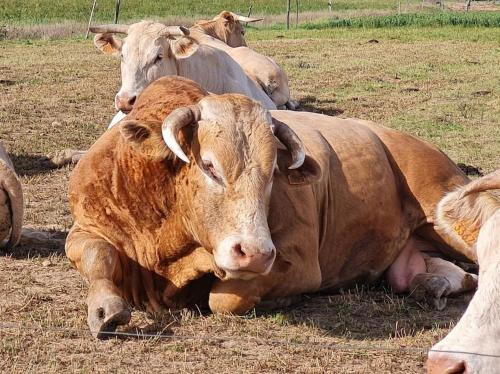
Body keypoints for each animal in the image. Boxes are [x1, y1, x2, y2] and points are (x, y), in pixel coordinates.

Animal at [65, 76, 488, 338]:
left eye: (272, 173)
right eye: (209, 166)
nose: (254, 252)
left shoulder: (299, 262)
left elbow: (226, 297)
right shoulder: (85, 227)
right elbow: (98, 255)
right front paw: (105, 307)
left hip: (448, 219)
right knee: (457, 275)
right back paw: (432, 283)